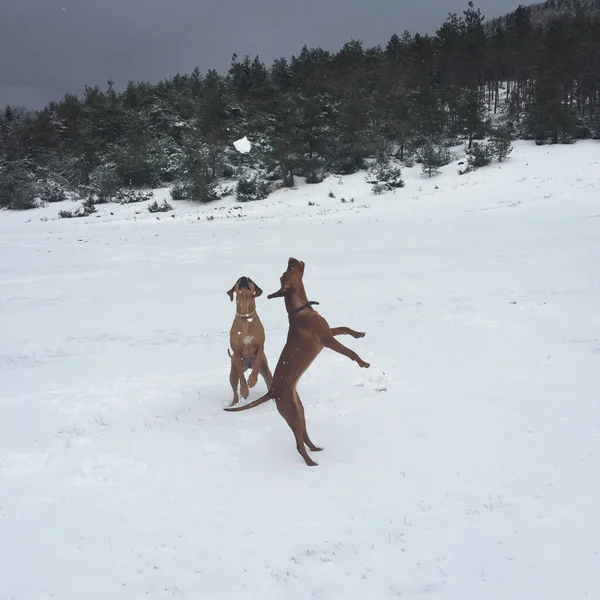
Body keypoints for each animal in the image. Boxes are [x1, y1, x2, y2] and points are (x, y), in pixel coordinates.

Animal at [226, 276, 274, 408]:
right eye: (238, 280)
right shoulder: (237, 352)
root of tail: (248, 365)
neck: (245, 317)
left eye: (250, 280)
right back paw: (233, 404)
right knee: (235, 390)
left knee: (268, 382)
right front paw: (244, 390)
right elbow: (242, 379)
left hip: (266, 370)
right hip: (233, 372)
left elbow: (256, 364)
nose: (243, 277)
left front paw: (252, 381)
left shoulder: (260, 347)